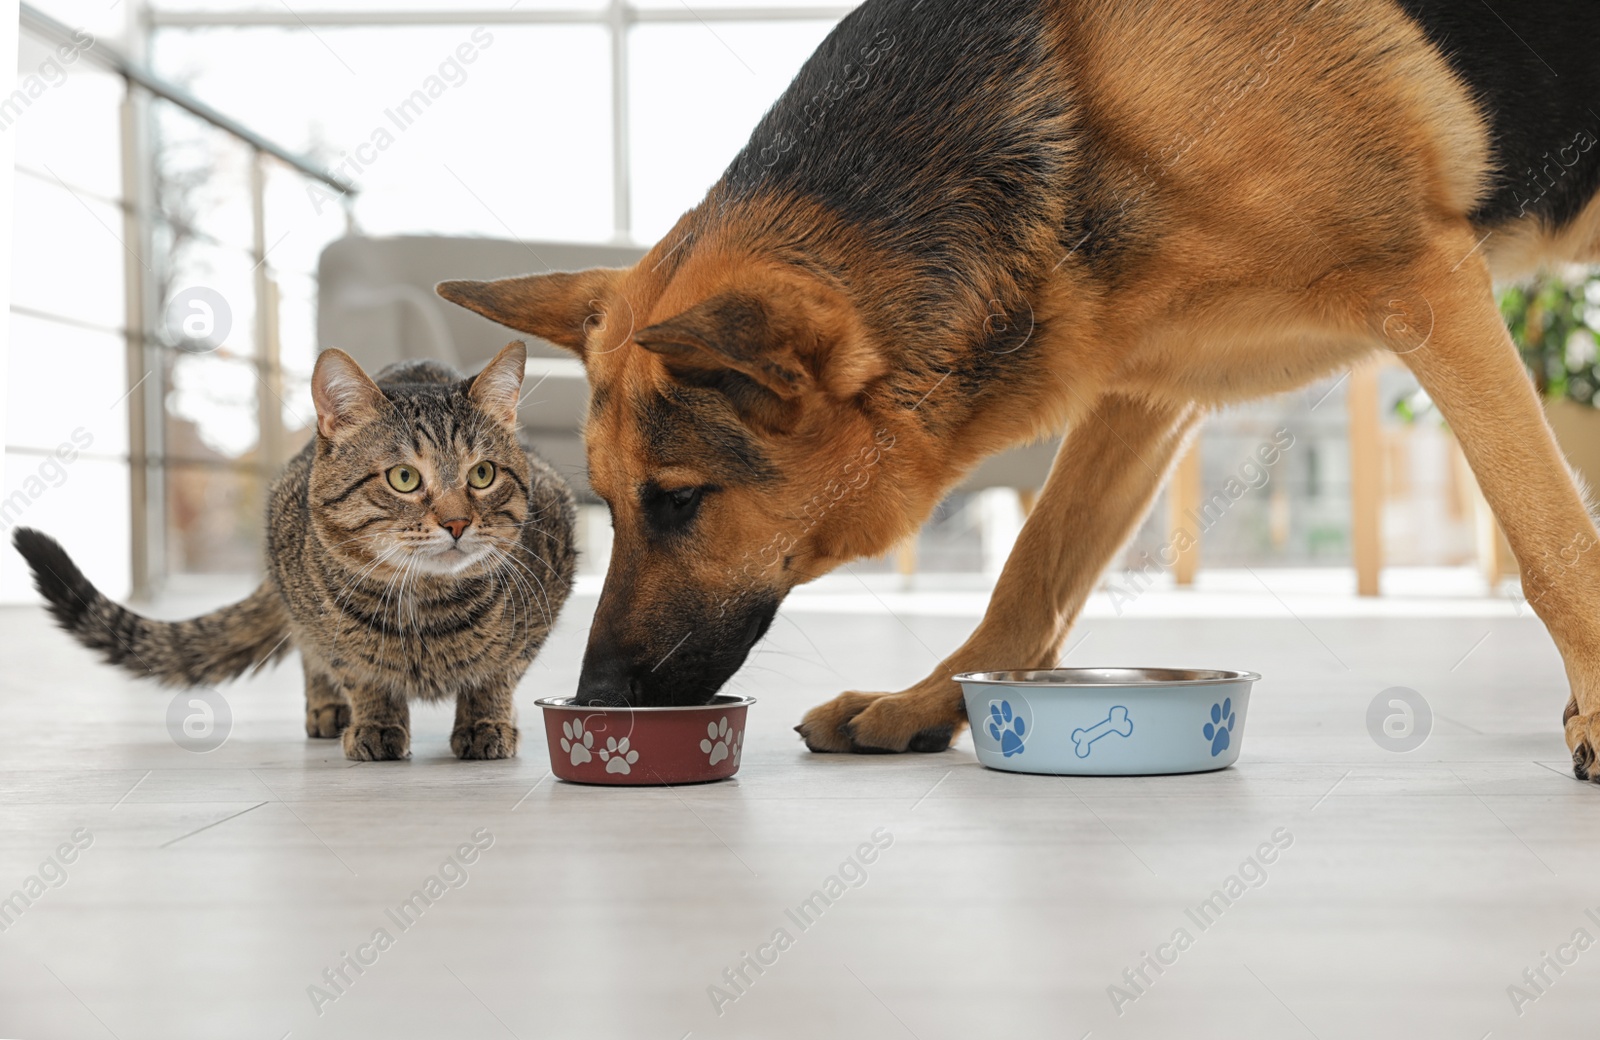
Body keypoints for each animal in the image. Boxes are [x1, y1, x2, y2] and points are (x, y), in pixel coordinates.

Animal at [14, 344, 576, 758]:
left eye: (482, 474)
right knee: (312, 657)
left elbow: (499, 672)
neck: (426, 606)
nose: (457, 522)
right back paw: (328, 711)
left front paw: (486, 722)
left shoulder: (551, 574)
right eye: (404, 478)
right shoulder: (311, 606)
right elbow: (354, 669)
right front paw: (375, 721)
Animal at [441, 0, 1600, 774]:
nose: (595, 696)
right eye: (607, 501)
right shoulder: (1145, 391)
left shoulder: (1430, 295)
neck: (1088, 88)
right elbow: (1031, 575)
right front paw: (929, 700)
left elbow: (1548, 542)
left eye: (681, 501)